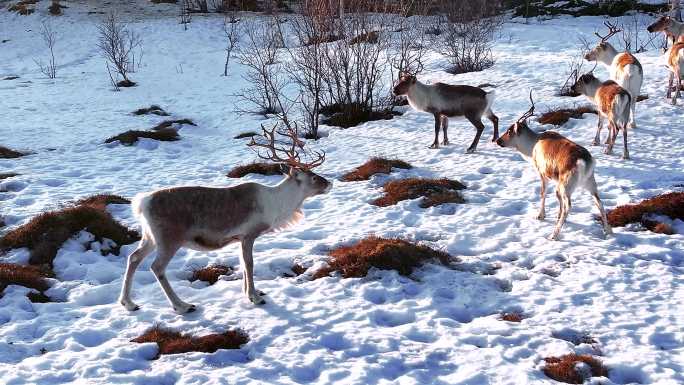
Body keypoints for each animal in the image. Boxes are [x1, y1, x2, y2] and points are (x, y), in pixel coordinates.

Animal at [119, 124, 332, 314]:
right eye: (313, 177)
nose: (330, 183)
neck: (278, 205)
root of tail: (142, 203)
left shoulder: (238, 238)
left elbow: (243, 264)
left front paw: (250, 293)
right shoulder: (248, 234)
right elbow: (249, 264)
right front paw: (255, 297)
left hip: (149, 236)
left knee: (134, 257)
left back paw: (129, 303)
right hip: (169, 239)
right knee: (157, 267)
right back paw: (182, 306)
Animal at [494, 91, 612, 238]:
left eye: (509, 131)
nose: (498, 140)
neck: (532, 147)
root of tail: (585, 162)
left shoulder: (542, 172)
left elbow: (543, 193)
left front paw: (540, 215)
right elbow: (556, 198)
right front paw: (556, 216)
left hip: (566, 184)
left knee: (569, 205)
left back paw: (554, 235)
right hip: (590, 182)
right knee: (599, 202)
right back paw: (608, 231)